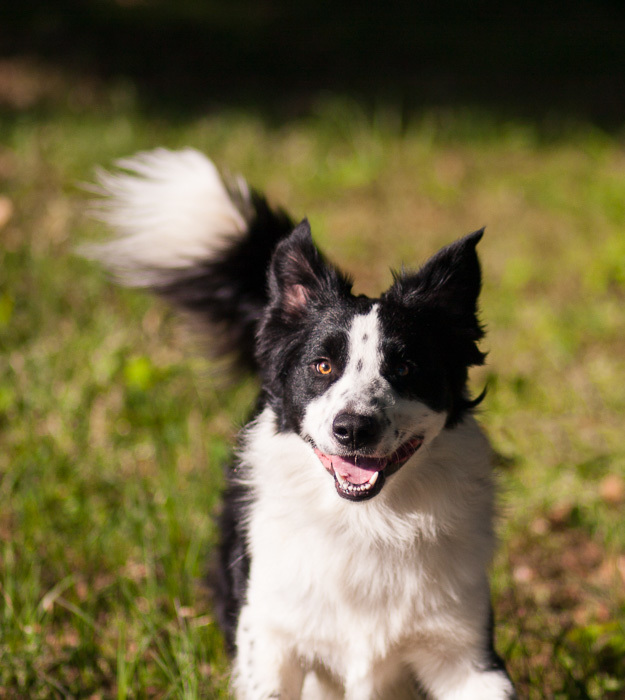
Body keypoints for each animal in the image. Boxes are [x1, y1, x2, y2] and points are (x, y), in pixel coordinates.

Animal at [89, 148, 516, 700]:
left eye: (405, 368)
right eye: (323, 365)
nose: (353, 429)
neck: (369, 524)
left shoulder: (466, 652)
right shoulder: (270, 640)